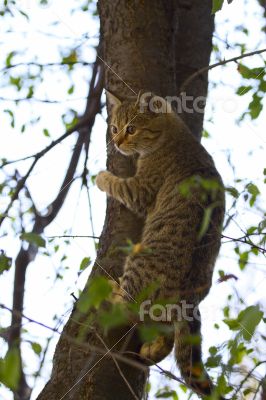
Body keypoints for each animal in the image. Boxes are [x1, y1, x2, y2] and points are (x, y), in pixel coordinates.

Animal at [95, 89, 224, 398]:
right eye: (114, 128)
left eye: (131, 129)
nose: (117, 143)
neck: (171, 134)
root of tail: (188, 298)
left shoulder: (140, 190)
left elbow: (118, 185)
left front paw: (102, 177)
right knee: (167, 335)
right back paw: (151, 349)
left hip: (138, 263)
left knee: (128, 310)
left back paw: (112, 291)